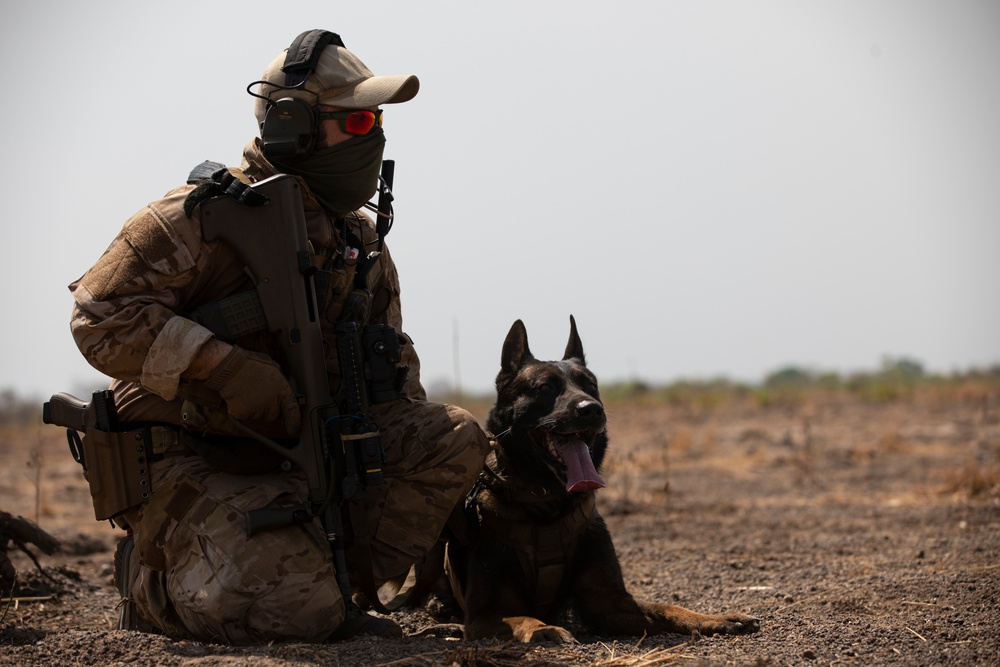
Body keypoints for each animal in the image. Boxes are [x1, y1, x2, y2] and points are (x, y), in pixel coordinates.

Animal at [426, 318, 760, 648]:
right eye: (545, 387)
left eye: (591, 386)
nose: (592, 409)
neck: (548, 503)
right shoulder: (485, 615)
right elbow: (522, 618)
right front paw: (544, 629)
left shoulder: (610, 604)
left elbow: (668, 607)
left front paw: (718, 618)